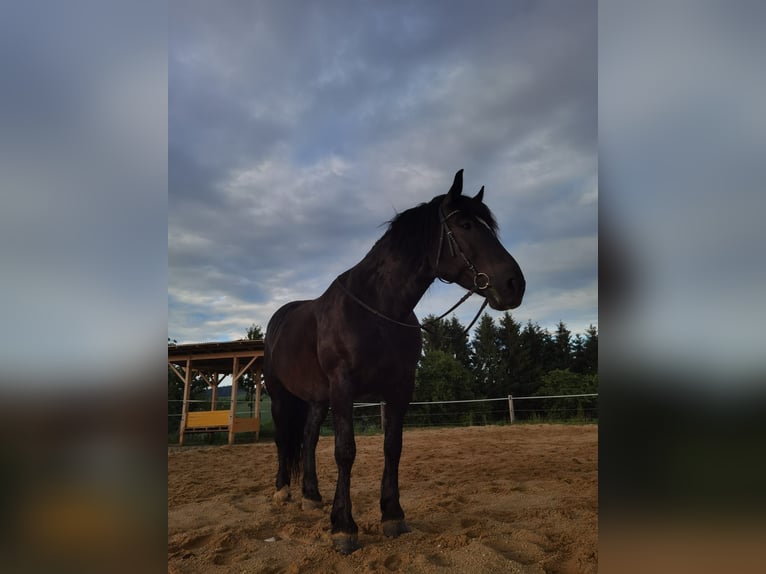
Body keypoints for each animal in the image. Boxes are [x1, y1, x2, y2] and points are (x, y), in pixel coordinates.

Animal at [263, 169, 525, 554]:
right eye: (464, 224)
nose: (514, 284)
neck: (378, 309)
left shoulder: (400, 388)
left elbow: (393, 447)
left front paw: (392, 516)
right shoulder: (343, 388)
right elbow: (345, 451)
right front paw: (344, 528)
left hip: (317, 399)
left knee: (308, 438)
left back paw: (311, 496)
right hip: (281, 395)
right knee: (284, 438)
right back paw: (283, 491)